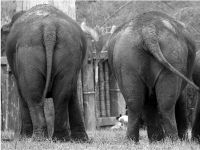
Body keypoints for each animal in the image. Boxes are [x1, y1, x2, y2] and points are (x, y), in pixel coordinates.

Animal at [1, 4, 89, 141]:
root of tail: (49, 28)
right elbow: (73, 94)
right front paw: (81, 139)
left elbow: (21, 95)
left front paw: (23, 137)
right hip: (69, 50)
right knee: (62, 95)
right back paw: (60, 138)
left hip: (28, 52)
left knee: (32, 95)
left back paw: (37, 138)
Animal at [82, 11, 199, 142]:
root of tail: (148, 31)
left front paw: (156, 140)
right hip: (172, 56)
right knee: (166, 103)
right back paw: (173, 140)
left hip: (126, 59)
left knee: (134, 102)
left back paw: (132, 140)